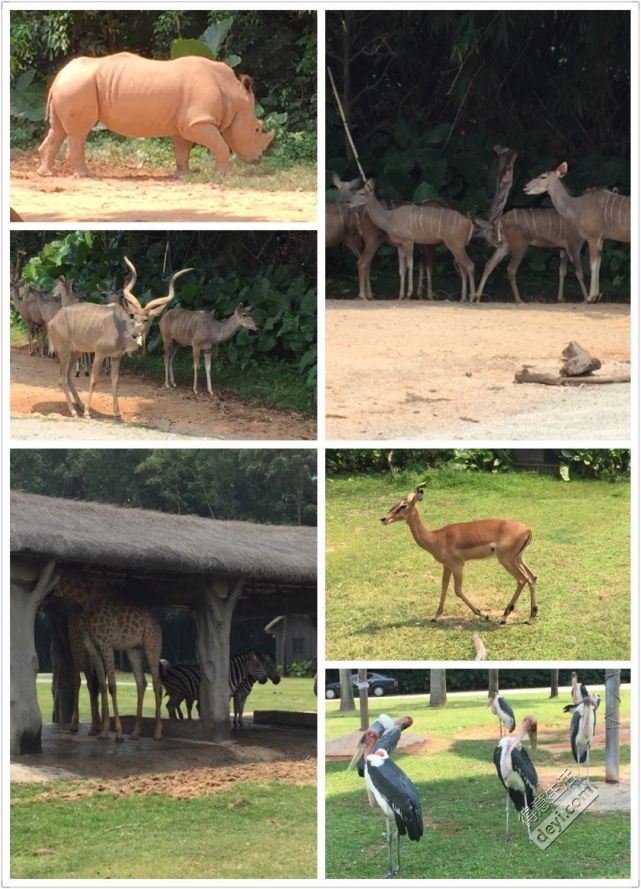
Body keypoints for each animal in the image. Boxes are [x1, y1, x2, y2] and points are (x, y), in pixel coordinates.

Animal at [47, 256, 192, 420]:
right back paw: (74, 411)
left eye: (146, 319)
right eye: (133, 316)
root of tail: (53, 321)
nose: (136, 334)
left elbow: (115, 381)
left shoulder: (116, 357)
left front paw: (117, 413)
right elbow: (93, 380)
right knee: (61, 379)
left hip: (76, 351)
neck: (121, 330)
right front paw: (87, 413)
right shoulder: (100, 354)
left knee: (68, 376)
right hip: (64, 350)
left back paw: (79, 405)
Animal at [54, 568, 164, 744]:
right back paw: (135, 732)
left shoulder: (106, 643)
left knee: (157, 683)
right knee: (141, 683)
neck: (85, 598)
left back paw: (158, 733)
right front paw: (104, 731)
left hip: (152, 647)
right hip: (133, 650)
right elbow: (101, 684)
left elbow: (112, 685)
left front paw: (117, 733)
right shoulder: (93, 646)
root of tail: (158, 626)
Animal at [380, 486, 536, 624]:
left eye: (403, 505)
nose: (384, 518)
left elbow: (458, 591)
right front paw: (435, 616)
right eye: (395, 503)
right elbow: (444, 586)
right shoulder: (447, 566)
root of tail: (528, 530)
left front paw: (483, 614)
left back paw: (504, 617)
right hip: (518, 559)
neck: (436, 537)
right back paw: (530, 617)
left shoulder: (458, 565)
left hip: (506, 560)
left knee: (522, 579)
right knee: (532, 577)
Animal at [524, 160, 632, 298]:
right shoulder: (601, 238)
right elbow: (598, 264)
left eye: (543, 176)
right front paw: (597, 296)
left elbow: (593, 265)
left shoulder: (593, 236)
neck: (578, 206)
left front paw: (591, 297)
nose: (526, 187)